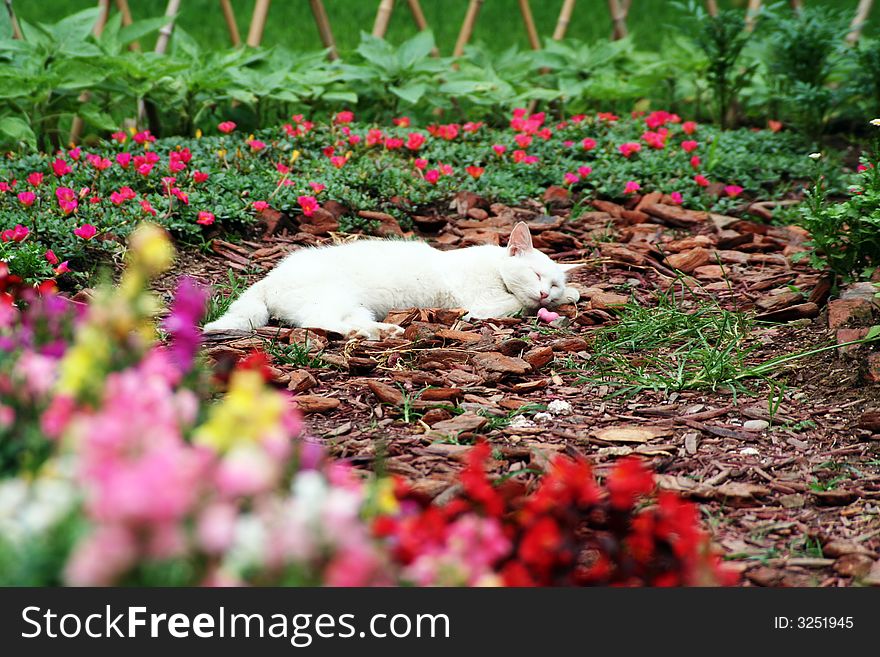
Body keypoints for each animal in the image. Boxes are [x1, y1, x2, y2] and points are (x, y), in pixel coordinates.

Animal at [203, 223, 580, 340]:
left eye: (553, 283)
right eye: (535, 275)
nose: (545, 293)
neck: (495, 266)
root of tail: (269, 277)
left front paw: (569, 296)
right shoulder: (482, 303)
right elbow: (515, 303)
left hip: (354, 305)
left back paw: (385, 331)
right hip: (334, 297)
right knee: (323, 323)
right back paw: (373, 334)